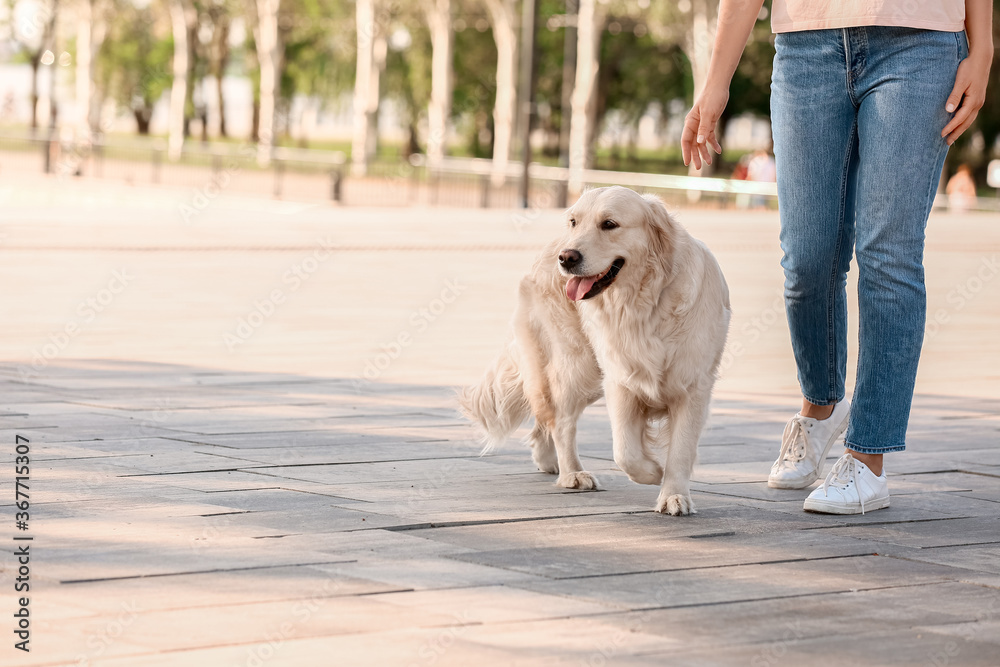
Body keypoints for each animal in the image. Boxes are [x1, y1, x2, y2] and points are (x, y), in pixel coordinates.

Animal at [458, 188, 728, 516]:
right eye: (574, 221)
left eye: (609, 224)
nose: (567, 258)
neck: (639, 304)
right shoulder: (619, 380)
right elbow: (625, 451)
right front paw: (653, 472)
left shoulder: (693, 386)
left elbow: (681, 448)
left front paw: (674, 495)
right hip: (579, 366)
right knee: (560, 421)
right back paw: (571, 472)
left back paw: (549, 461)